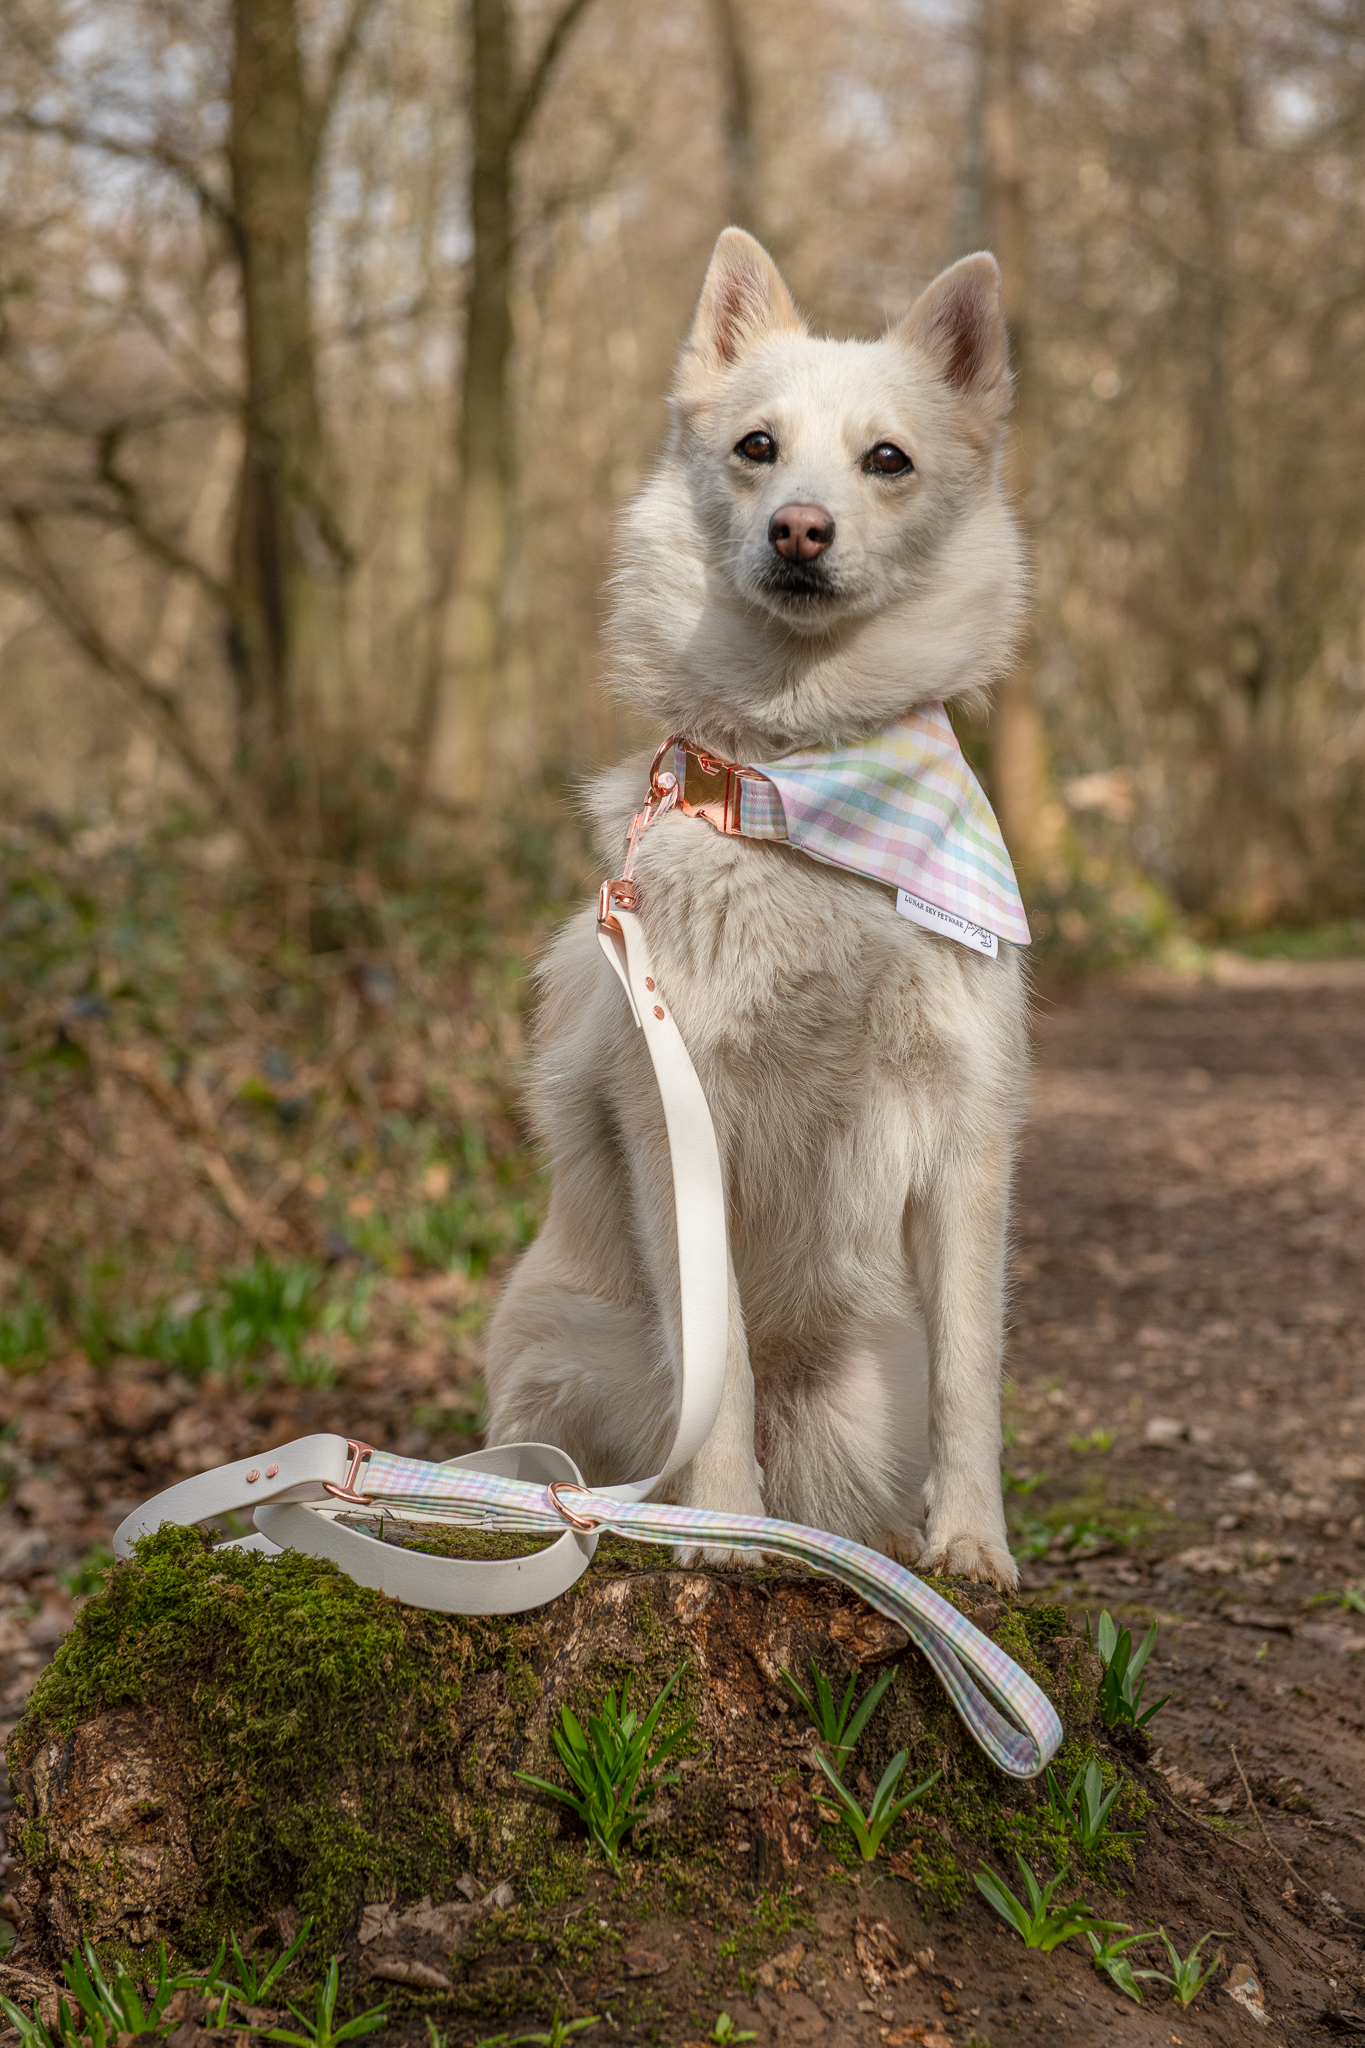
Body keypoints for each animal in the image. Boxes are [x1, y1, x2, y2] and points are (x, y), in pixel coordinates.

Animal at [485, 232, 1031, 1589]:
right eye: (756, 447)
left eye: (887, 458)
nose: (800, 526)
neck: (804, 771)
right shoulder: (684, 1122)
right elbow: (716, 1359)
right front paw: (720, 1523)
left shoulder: (968, 1129)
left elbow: (973, 1369)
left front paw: (971, 1540)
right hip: (557, 1350)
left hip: (860, 1401)